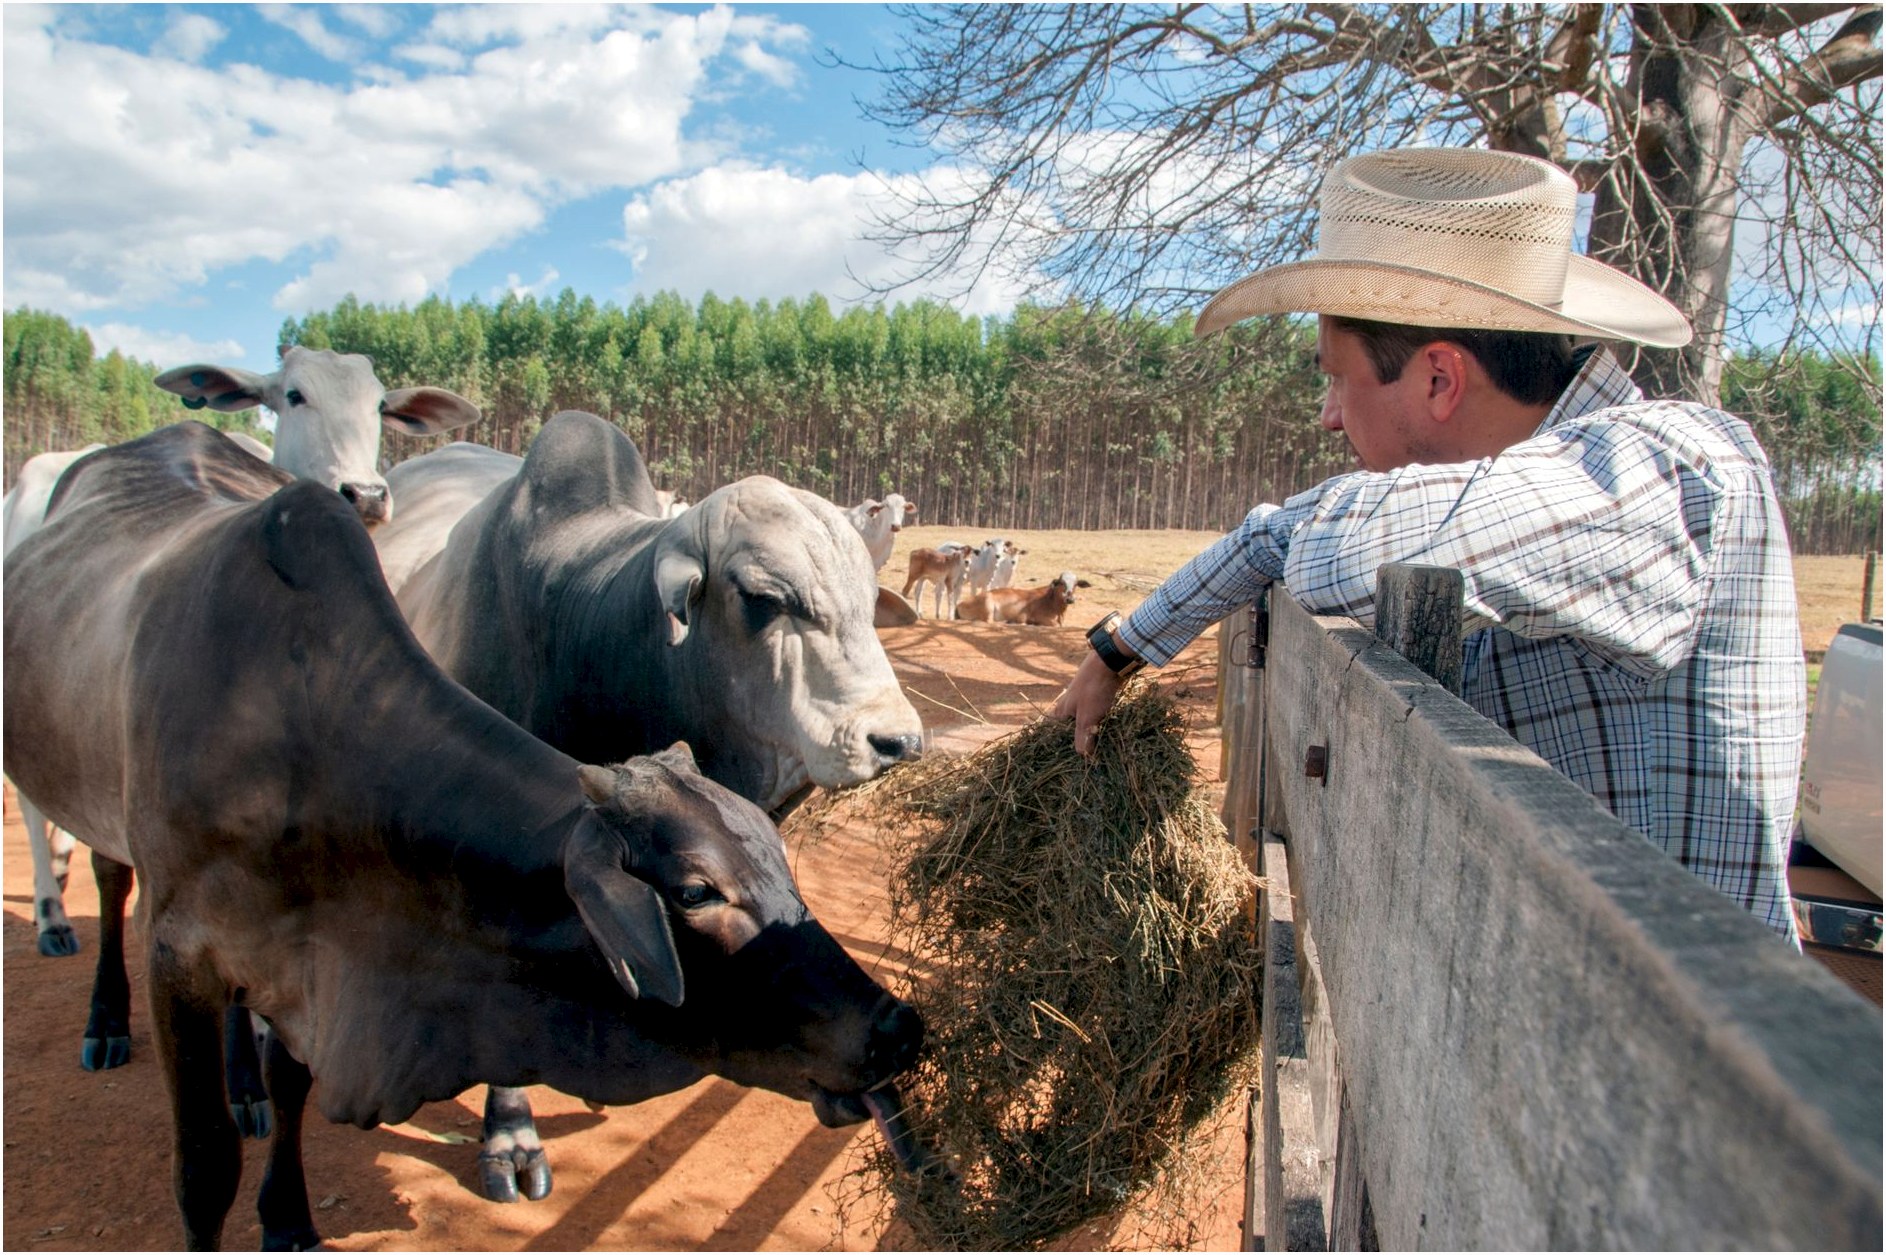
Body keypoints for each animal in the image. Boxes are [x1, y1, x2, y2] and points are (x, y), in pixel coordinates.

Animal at [957, 570, 1091, 625]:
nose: (1070, 599)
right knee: (990, 622)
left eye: (1076, 584)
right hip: (988, 605)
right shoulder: (1041, 618)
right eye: (1062, 582)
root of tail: (960, 604)